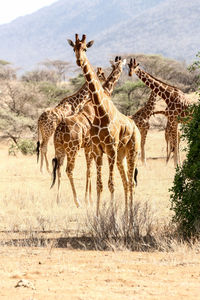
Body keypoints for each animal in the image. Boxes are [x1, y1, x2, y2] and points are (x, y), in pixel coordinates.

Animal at [50, 56, 126, 207]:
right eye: (122, 66)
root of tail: (59, 131)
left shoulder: (87, 146)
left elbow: (88, 170)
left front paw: (89, 198)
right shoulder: (91, 146)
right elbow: (90, 170)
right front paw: (89, 199)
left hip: (59, 148)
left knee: (58, 169)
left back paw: (58, 199)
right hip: (72, 149)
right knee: (69, 170)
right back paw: (77, 201)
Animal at [68, 34, 140, 216]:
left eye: (85, 48)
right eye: (74, 48)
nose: (79, 60)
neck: (101, 111)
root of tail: (136, 127)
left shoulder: (110, 148)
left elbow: (110, 184)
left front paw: (112, 215)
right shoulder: (98, 149)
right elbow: (100, 184)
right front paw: (98, 214)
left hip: (131, 152)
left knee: (130, 182)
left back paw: (131, 214)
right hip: (120, 154)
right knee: (126, 181)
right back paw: (127, 213)